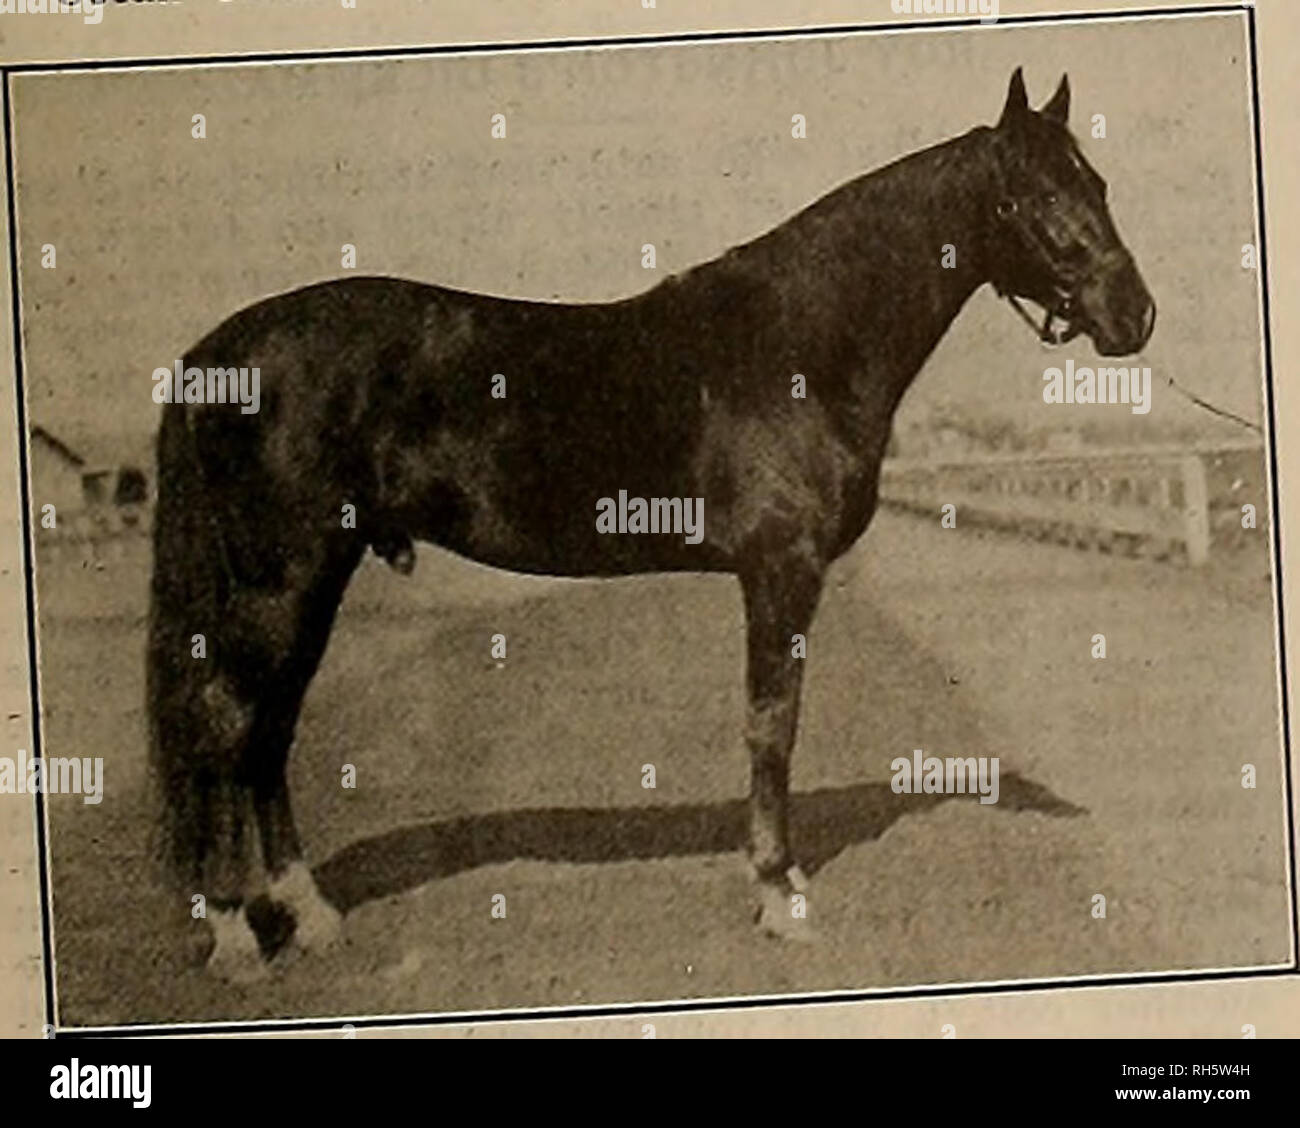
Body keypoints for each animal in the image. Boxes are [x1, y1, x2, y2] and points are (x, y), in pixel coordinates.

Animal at [147, 67, 1155, 981]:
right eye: (1036, 195)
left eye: (1100, 184)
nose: (1134, 315)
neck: (799, 344)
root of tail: (212, 356)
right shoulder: (780, 570)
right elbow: (771, 724)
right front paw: (778, 896)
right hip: (281, 580)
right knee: (228, 724)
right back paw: (236, 934)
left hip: (315, 576)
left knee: (270, 730)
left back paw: (311, 915)